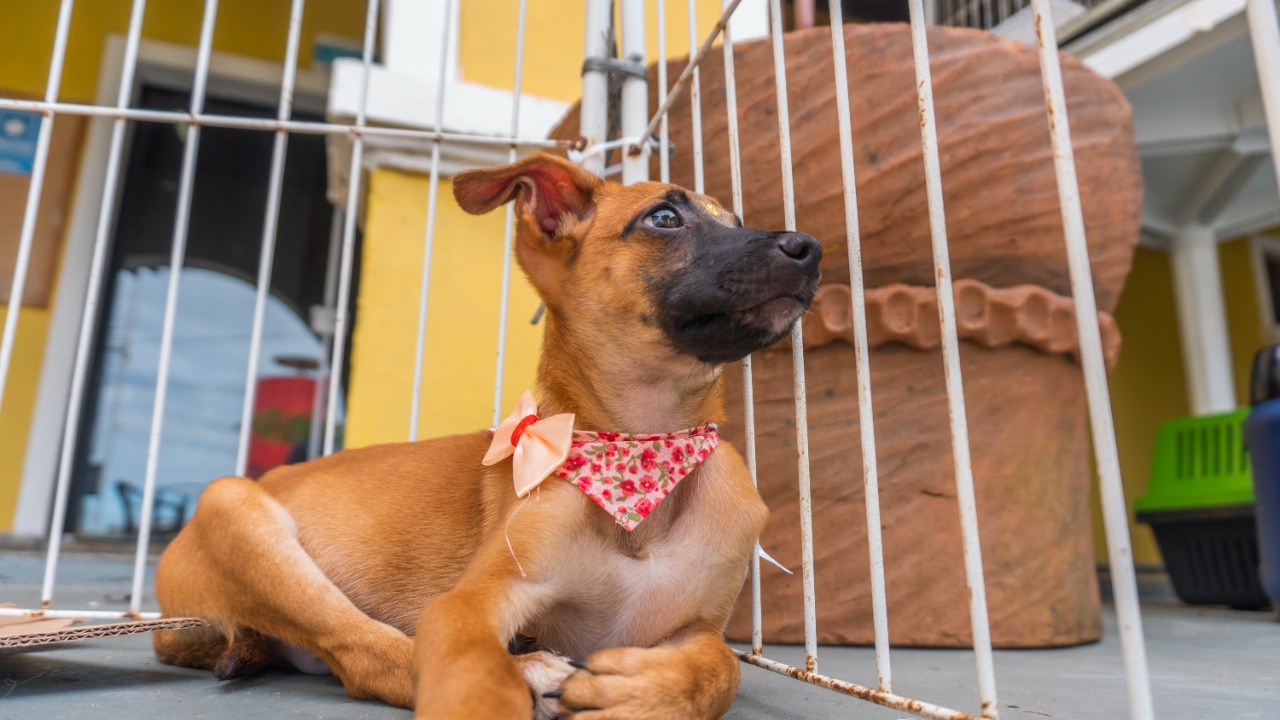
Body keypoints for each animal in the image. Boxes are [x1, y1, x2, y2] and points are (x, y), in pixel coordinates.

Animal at [152, 152, 819, 717]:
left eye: (736, 220)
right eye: (664, 218)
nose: (809, 247)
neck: (643, 461)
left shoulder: (697, 628)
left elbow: (722, 665)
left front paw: (642, 693)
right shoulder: (470, 604)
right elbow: (468, 676)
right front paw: (511, 679)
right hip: (235, 510)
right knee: (367, 653)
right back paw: (530, 673)